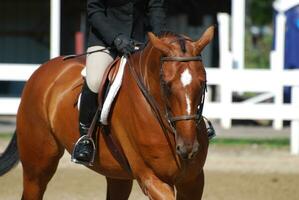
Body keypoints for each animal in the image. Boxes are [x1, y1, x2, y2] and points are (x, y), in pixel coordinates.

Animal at [0, 25, 216, 199]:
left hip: (117, 174)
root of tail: (42, 70)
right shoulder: (152, 179)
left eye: (203, 83)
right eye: (166, 85)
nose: (188, 149)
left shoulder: (193, 181)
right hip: (37, 167)